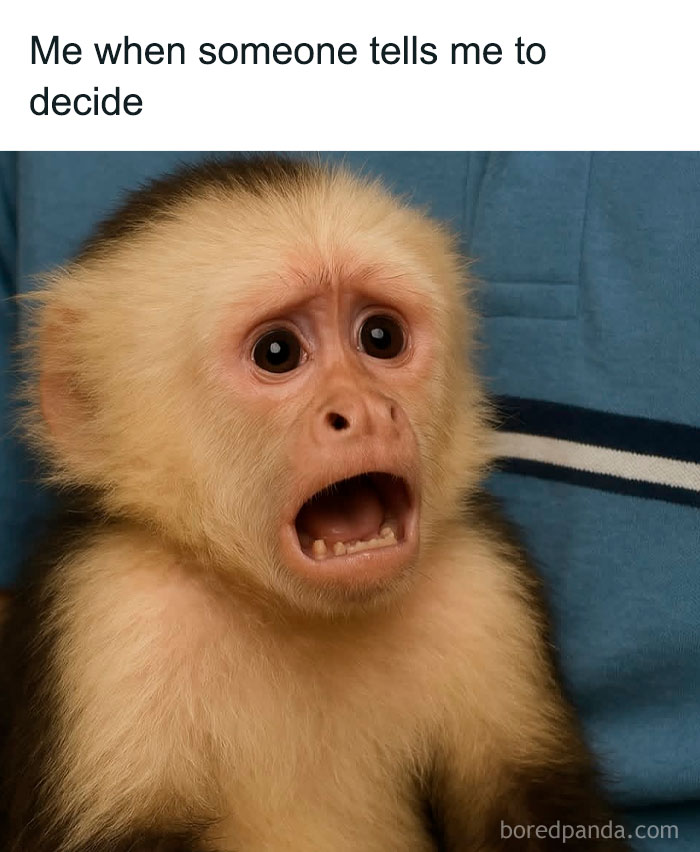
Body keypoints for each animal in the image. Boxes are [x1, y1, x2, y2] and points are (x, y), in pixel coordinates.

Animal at [0, 155, 632, 852]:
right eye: (277, 352)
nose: (365, 411)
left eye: (380, 337)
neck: (291, 612)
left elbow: (534, 804)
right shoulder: (110, 611)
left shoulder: (482, 586)